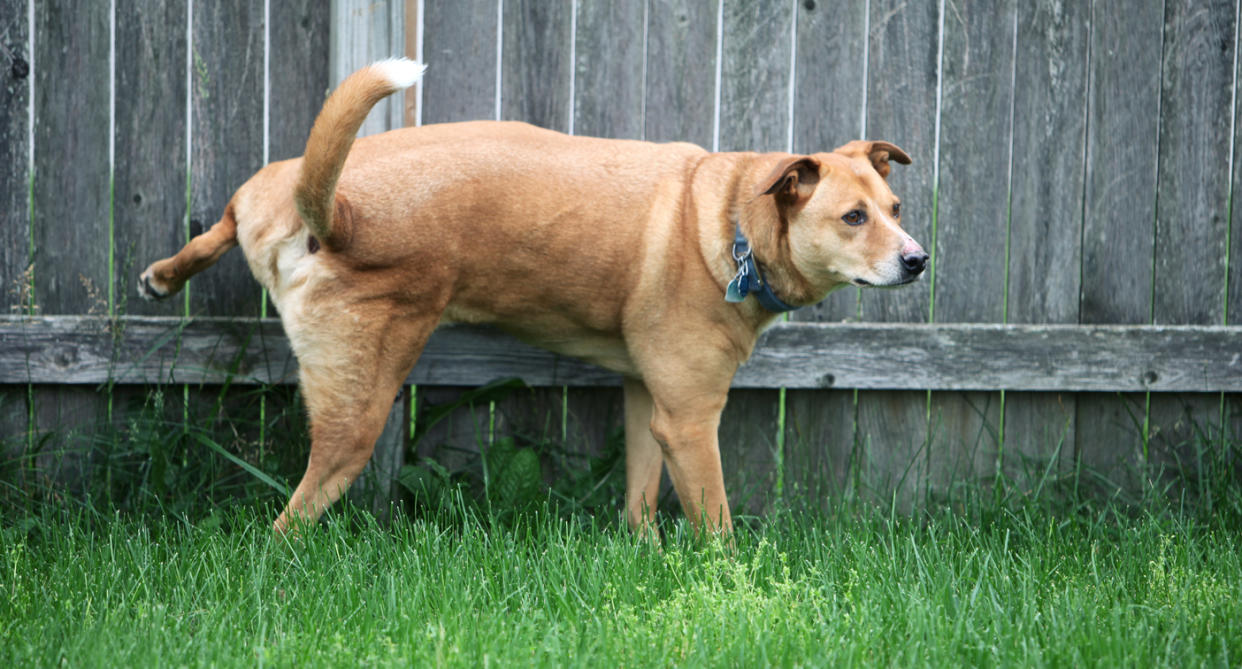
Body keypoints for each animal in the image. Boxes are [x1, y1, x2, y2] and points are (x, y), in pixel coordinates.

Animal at [140, 60, 929, 536]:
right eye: (853, 218)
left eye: (894, 207)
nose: (919, 259)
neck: (730, 217)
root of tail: (335, 212)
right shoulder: (691, 418)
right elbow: (718, 525)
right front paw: (729, 589)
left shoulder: (650, 402)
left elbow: (640, 497)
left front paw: (642, 554)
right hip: (357, 410)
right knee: (289, 521)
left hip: (267, 187)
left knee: (226, 218)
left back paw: (167, 273)